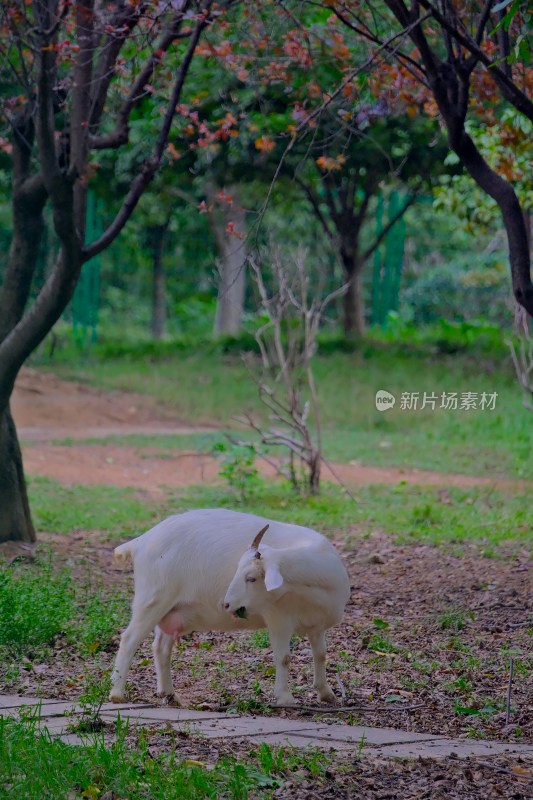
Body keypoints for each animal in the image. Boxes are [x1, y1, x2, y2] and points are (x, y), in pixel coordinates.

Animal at [109, 510, 350, 704]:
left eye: (251, 578)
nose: (226, 603)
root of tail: (141, 541)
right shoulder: (278, 618)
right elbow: (284, 657)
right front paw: (285, 698)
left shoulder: (317, 625)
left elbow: (321, 654)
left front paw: (326, 693)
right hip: (153, 598)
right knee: (129, 639)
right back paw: (117, 693)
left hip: (172, 609)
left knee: (160, 647)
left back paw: (169, 694)